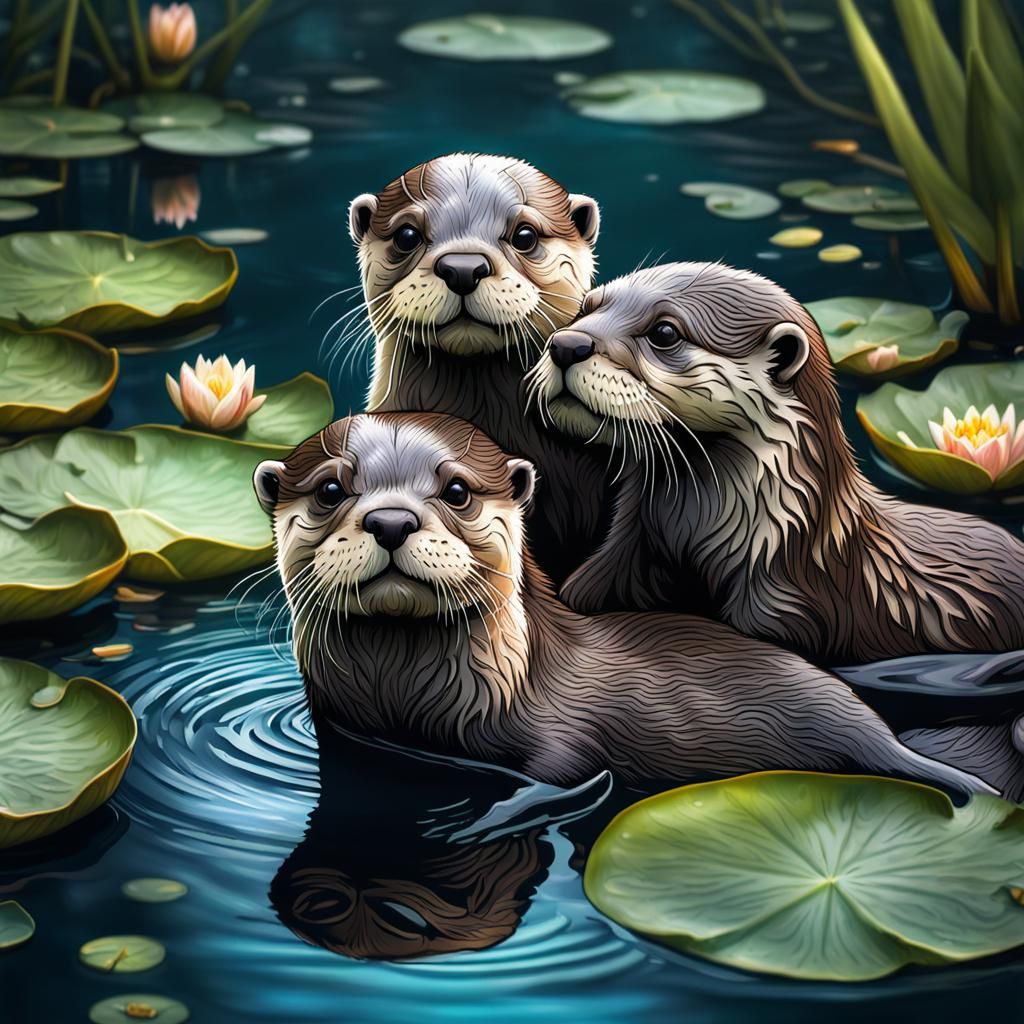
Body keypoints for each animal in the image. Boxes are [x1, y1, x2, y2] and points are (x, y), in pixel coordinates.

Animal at [253, 411, 992, 797]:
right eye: (330, 488)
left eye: (456, 490)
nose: (391, 520)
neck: (404, 706)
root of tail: (874, 733)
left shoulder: (561, 746)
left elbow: (562, 780)